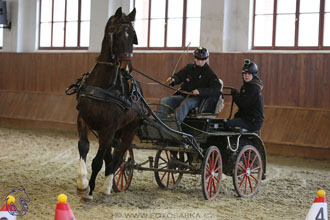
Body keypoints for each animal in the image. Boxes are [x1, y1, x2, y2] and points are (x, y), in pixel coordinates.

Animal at [75, 7, 141, 199]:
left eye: (132, 35)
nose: (127, 67)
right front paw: (82, 182)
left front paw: (90, 190)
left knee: (119, 155)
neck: (103, 86)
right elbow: (83, 147)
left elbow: (97, 161)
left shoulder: (109, 127)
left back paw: (107, 187)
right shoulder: (83, 119)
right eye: (117, 35)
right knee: (111, 156)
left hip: (129, 129)